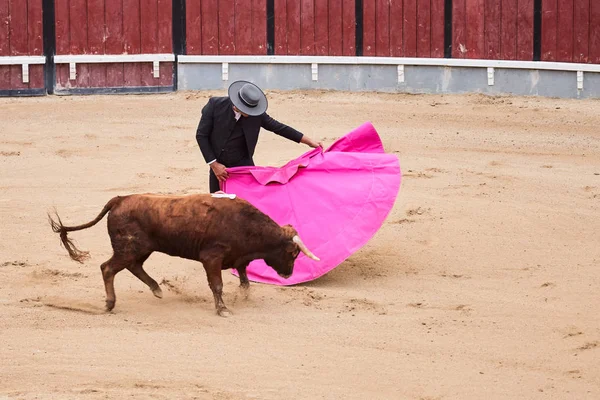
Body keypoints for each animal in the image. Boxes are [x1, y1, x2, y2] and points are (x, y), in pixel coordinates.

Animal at [48, 192, 318, 318]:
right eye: (293, 253)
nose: (288, 274)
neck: (247, 225)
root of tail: (120, 198)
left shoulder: (237, 258)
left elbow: (244, 279)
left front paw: (243, 296)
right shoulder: (211, 258)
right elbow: (217, 285)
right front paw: (223, 309)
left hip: (142, 249)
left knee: (134, 267)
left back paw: (157, 289)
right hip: (128, 248)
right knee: (108, 268)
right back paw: (109, 304)